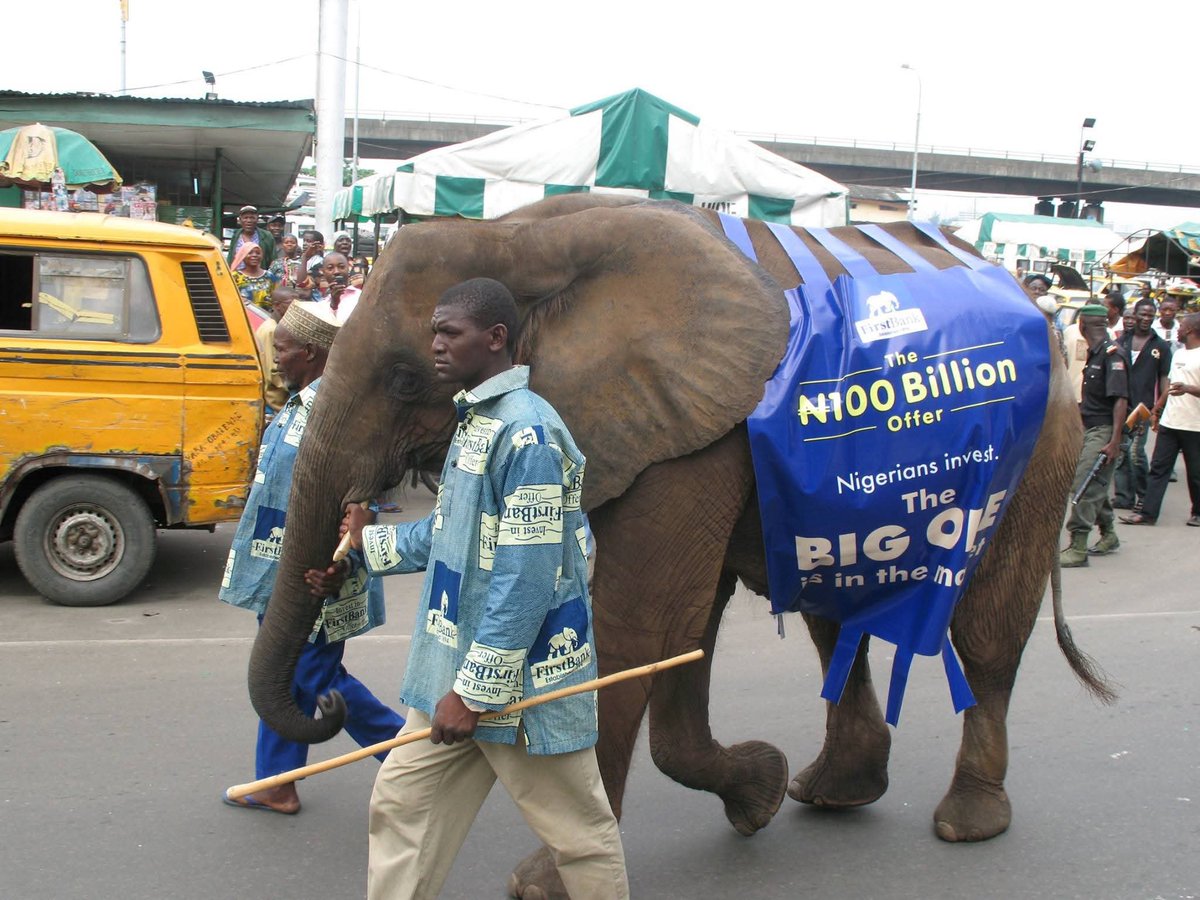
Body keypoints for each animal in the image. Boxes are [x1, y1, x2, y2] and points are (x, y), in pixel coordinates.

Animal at [247, 194, 1112, 898]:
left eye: (404, 378)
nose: (323, 701)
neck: (524, 233)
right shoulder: (683, 426)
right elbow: (687, 626)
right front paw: (759, 795)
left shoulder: (692, 426)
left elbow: (645, 616)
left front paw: (547, 884)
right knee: (835, 613)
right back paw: (831, 792)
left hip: (1038, 446)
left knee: (989, 628)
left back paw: (968, 820)